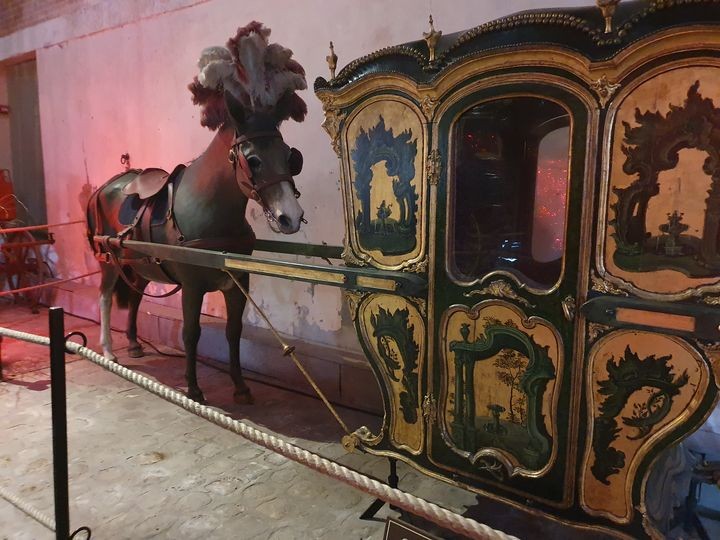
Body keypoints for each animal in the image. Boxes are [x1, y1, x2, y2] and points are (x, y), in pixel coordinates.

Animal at [86, 23, 307, 404]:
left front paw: (240, 386)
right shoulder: (192, 286)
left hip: (138, 263)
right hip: (110, 260)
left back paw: (133, 343)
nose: (289, 218)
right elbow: (191, 333)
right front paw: (192, 387)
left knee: (137, 293)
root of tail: (107, 185)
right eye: (253, 160)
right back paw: (110, 349)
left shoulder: (238, 282)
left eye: (289, 155)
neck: (211, 212)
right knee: (104, 297)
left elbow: (234, 332)